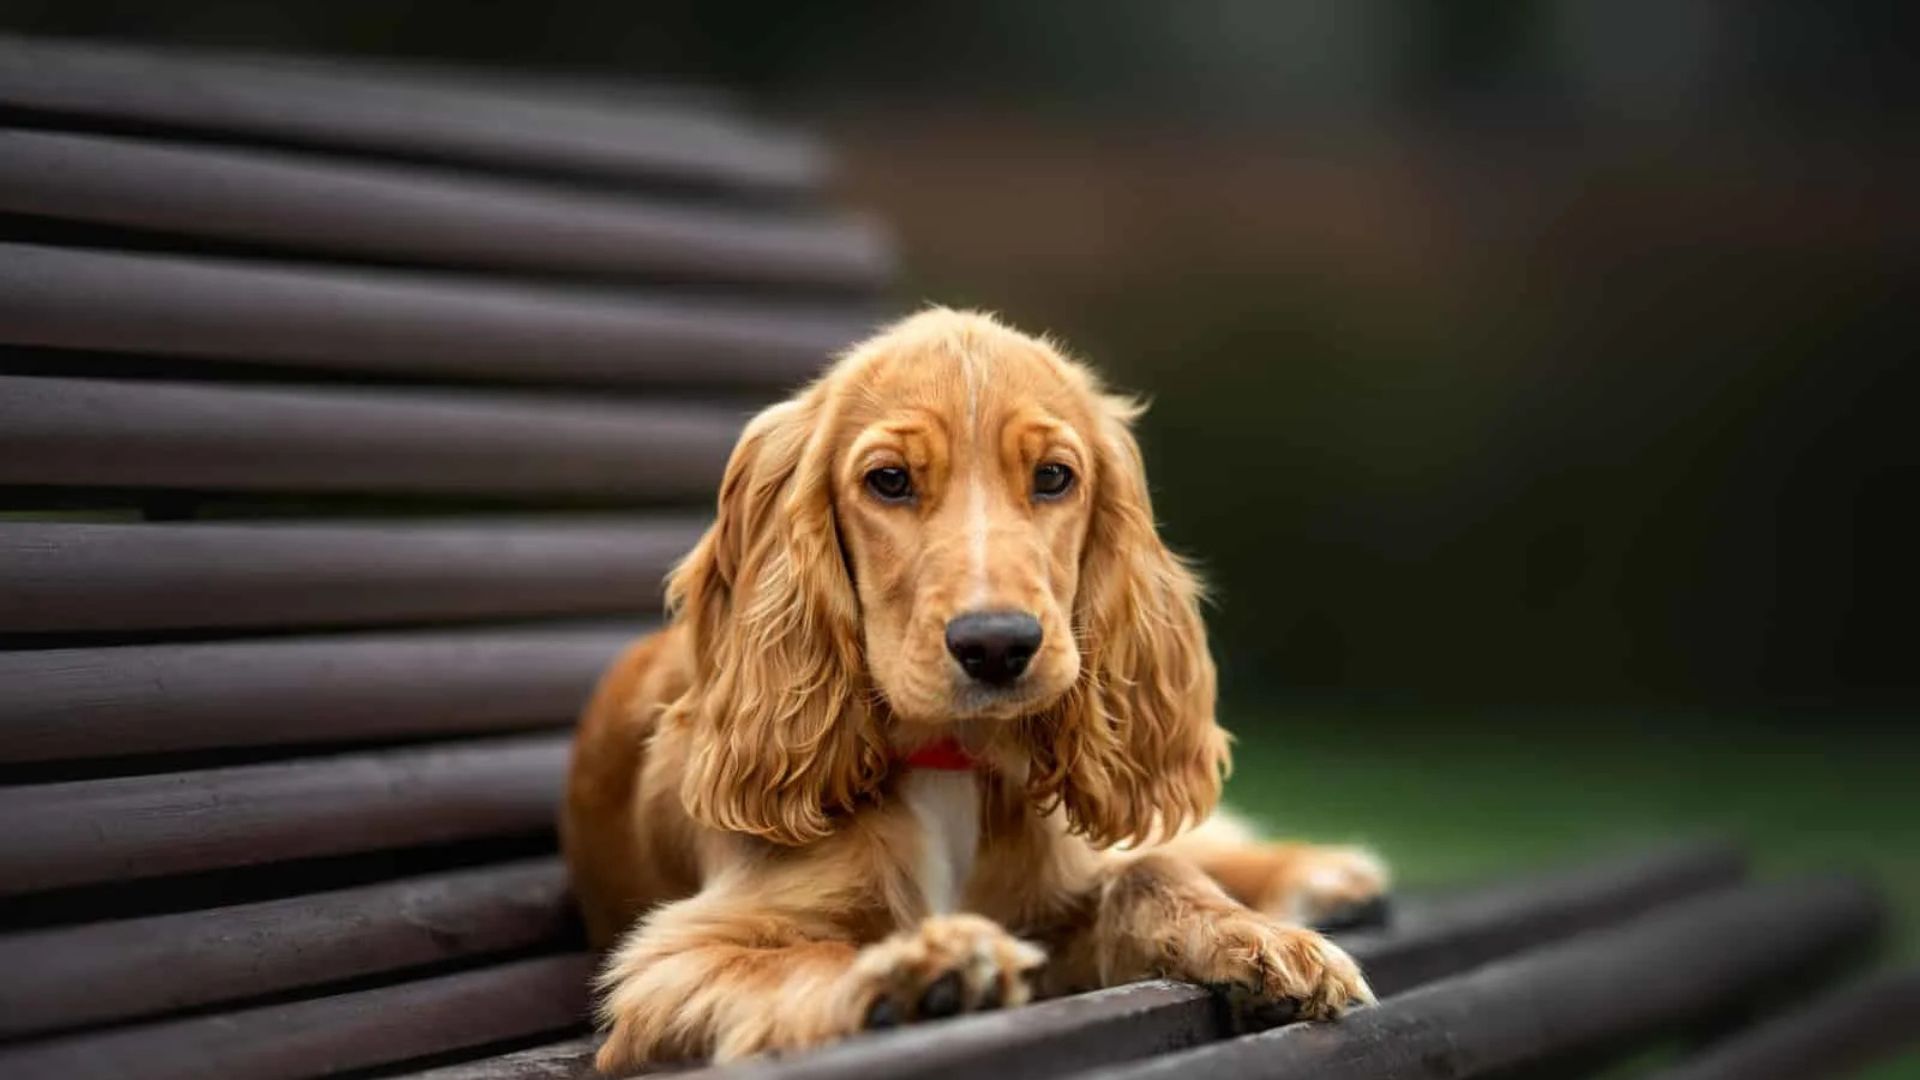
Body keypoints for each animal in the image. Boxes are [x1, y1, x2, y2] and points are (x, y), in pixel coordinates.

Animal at [560, 307, 1390, 1060]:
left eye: (1053, 477)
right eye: (889, 481)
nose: (997, 645)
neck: (949, 761)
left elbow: (1150, 870)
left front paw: (1263, 939)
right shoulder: (675, 960)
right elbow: (801, 960)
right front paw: (915, 974)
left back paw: (1321, 872)